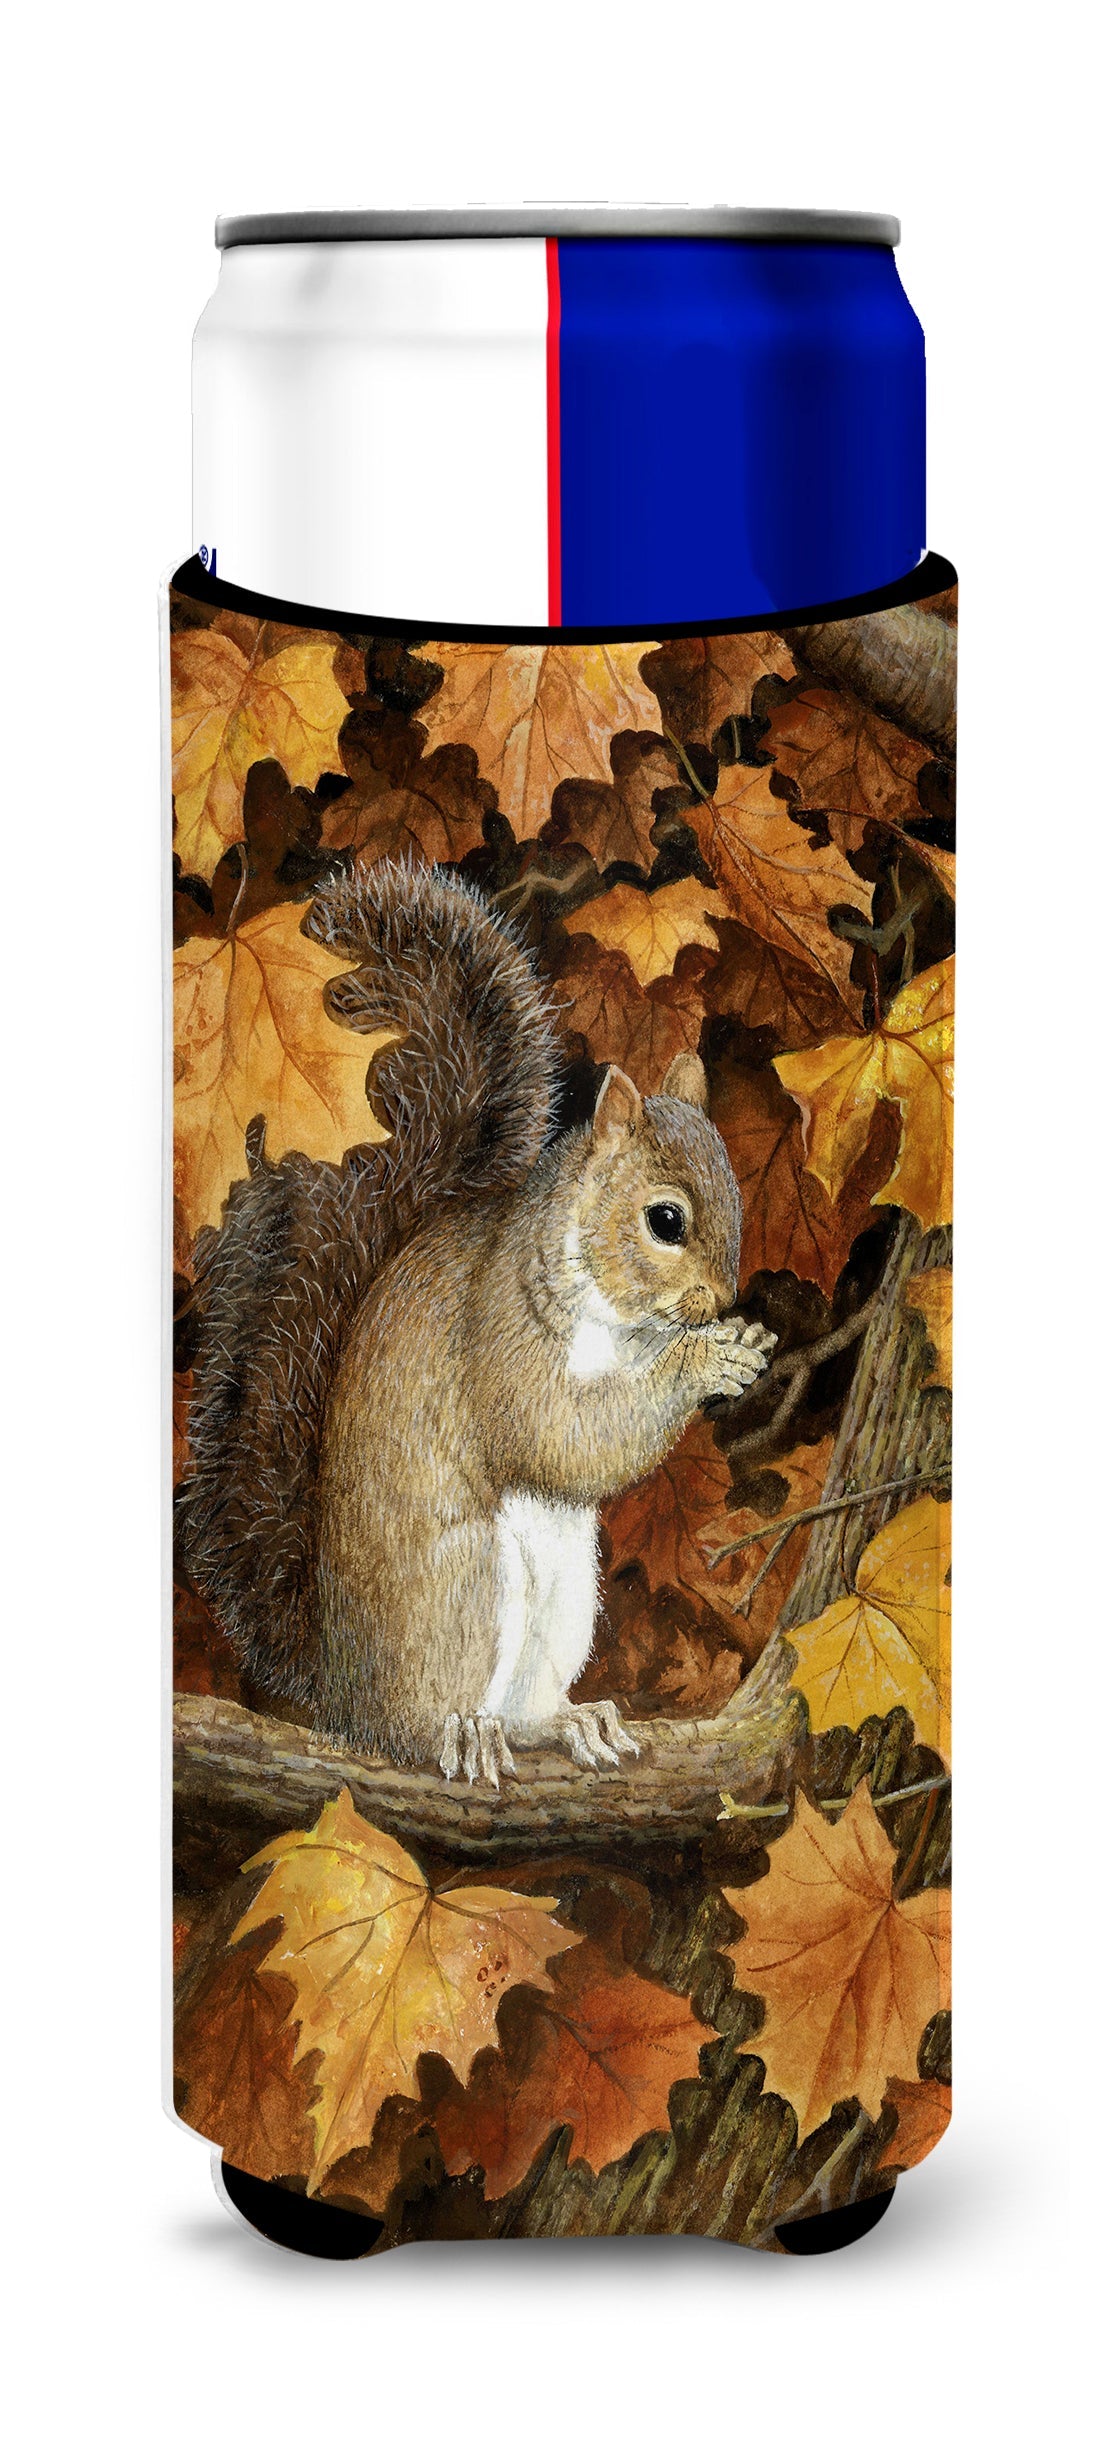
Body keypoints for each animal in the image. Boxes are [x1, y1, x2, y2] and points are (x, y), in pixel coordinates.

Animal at [179, 856, 775, 1787]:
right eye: (666, 1220)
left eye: (740, 1199)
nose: (717, 1301)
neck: (620, 1324)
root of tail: (339, 1689)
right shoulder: (500, 1334)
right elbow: (561, 1433)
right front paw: (703, 1364)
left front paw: (740, 1348)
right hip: (458, 1588)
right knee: (419, 1719)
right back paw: (456, 1733)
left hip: (565, 1596)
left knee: (525, 1705)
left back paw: (569, 1722)